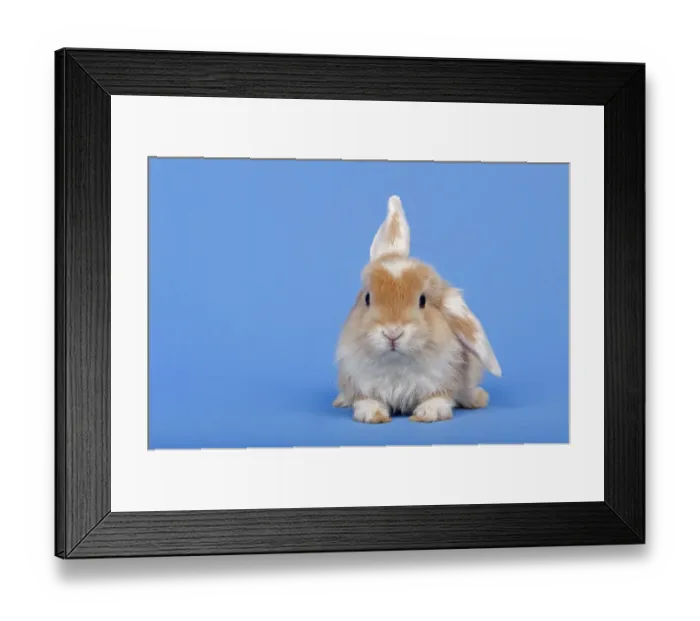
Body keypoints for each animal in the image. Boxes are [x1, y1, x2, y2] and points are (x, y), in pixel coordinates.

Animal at [334, 195, 501, 424]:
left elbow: (439, 397)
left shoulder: (443, 378)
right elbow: (366, 400)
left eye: (422, 300)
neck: (396, 363)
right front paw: (372, 414)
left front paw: (429, 413)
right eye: (367, 298)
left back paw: (478, 398)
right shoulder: (360, 381)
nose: (392, 333)